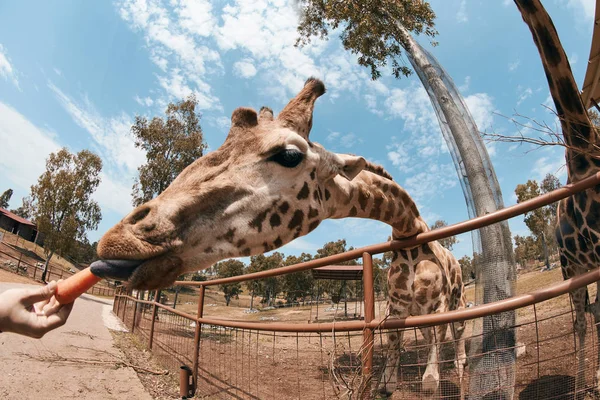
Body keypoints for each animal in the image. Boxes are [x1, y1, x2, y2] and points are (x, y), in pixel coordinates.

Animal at [96, 77, 466, 394]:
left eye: (289, 155)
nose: (120, 239)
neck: (408, 233)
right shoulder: (397, 309)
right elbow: (394, 347)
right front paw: (389, 384)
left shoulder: (436, 306)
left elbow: (431, 372)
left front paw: (429, 380)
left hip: (458, 301)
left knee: (457, 341)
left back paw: (459, 374)